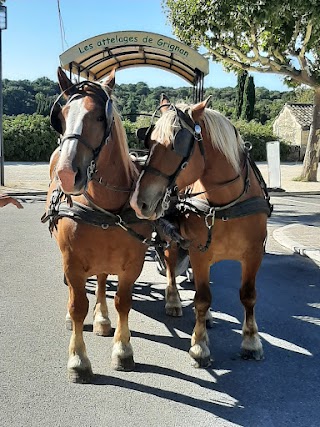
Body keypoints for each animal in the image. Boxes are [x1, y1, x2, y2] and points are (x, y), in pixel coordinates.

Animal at [42, 67, 152, 384]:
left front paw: (123, 350)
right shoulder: (72, 261)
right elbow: (78, 305)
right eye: (62, 115)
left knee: (102, 281)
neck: (104, 207)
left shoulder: (133, 263)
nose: (67, 175)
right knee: (75, 293)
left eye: (100, 117)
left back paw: (102, 319)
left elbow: (123, 302)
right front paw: (78, 360)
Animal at [131, 96, 272, 368]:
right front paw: (199, 345)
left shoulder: (253, 254)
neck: (226, 203)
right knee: (170, 265)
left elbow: (248, 296)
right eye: (150, 141)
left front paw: (251, 342)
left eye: (176, 144)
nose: (139, 201)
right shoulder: (198, 252)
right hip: (170, 237)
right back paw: (173, 300)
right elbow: (202, 298)